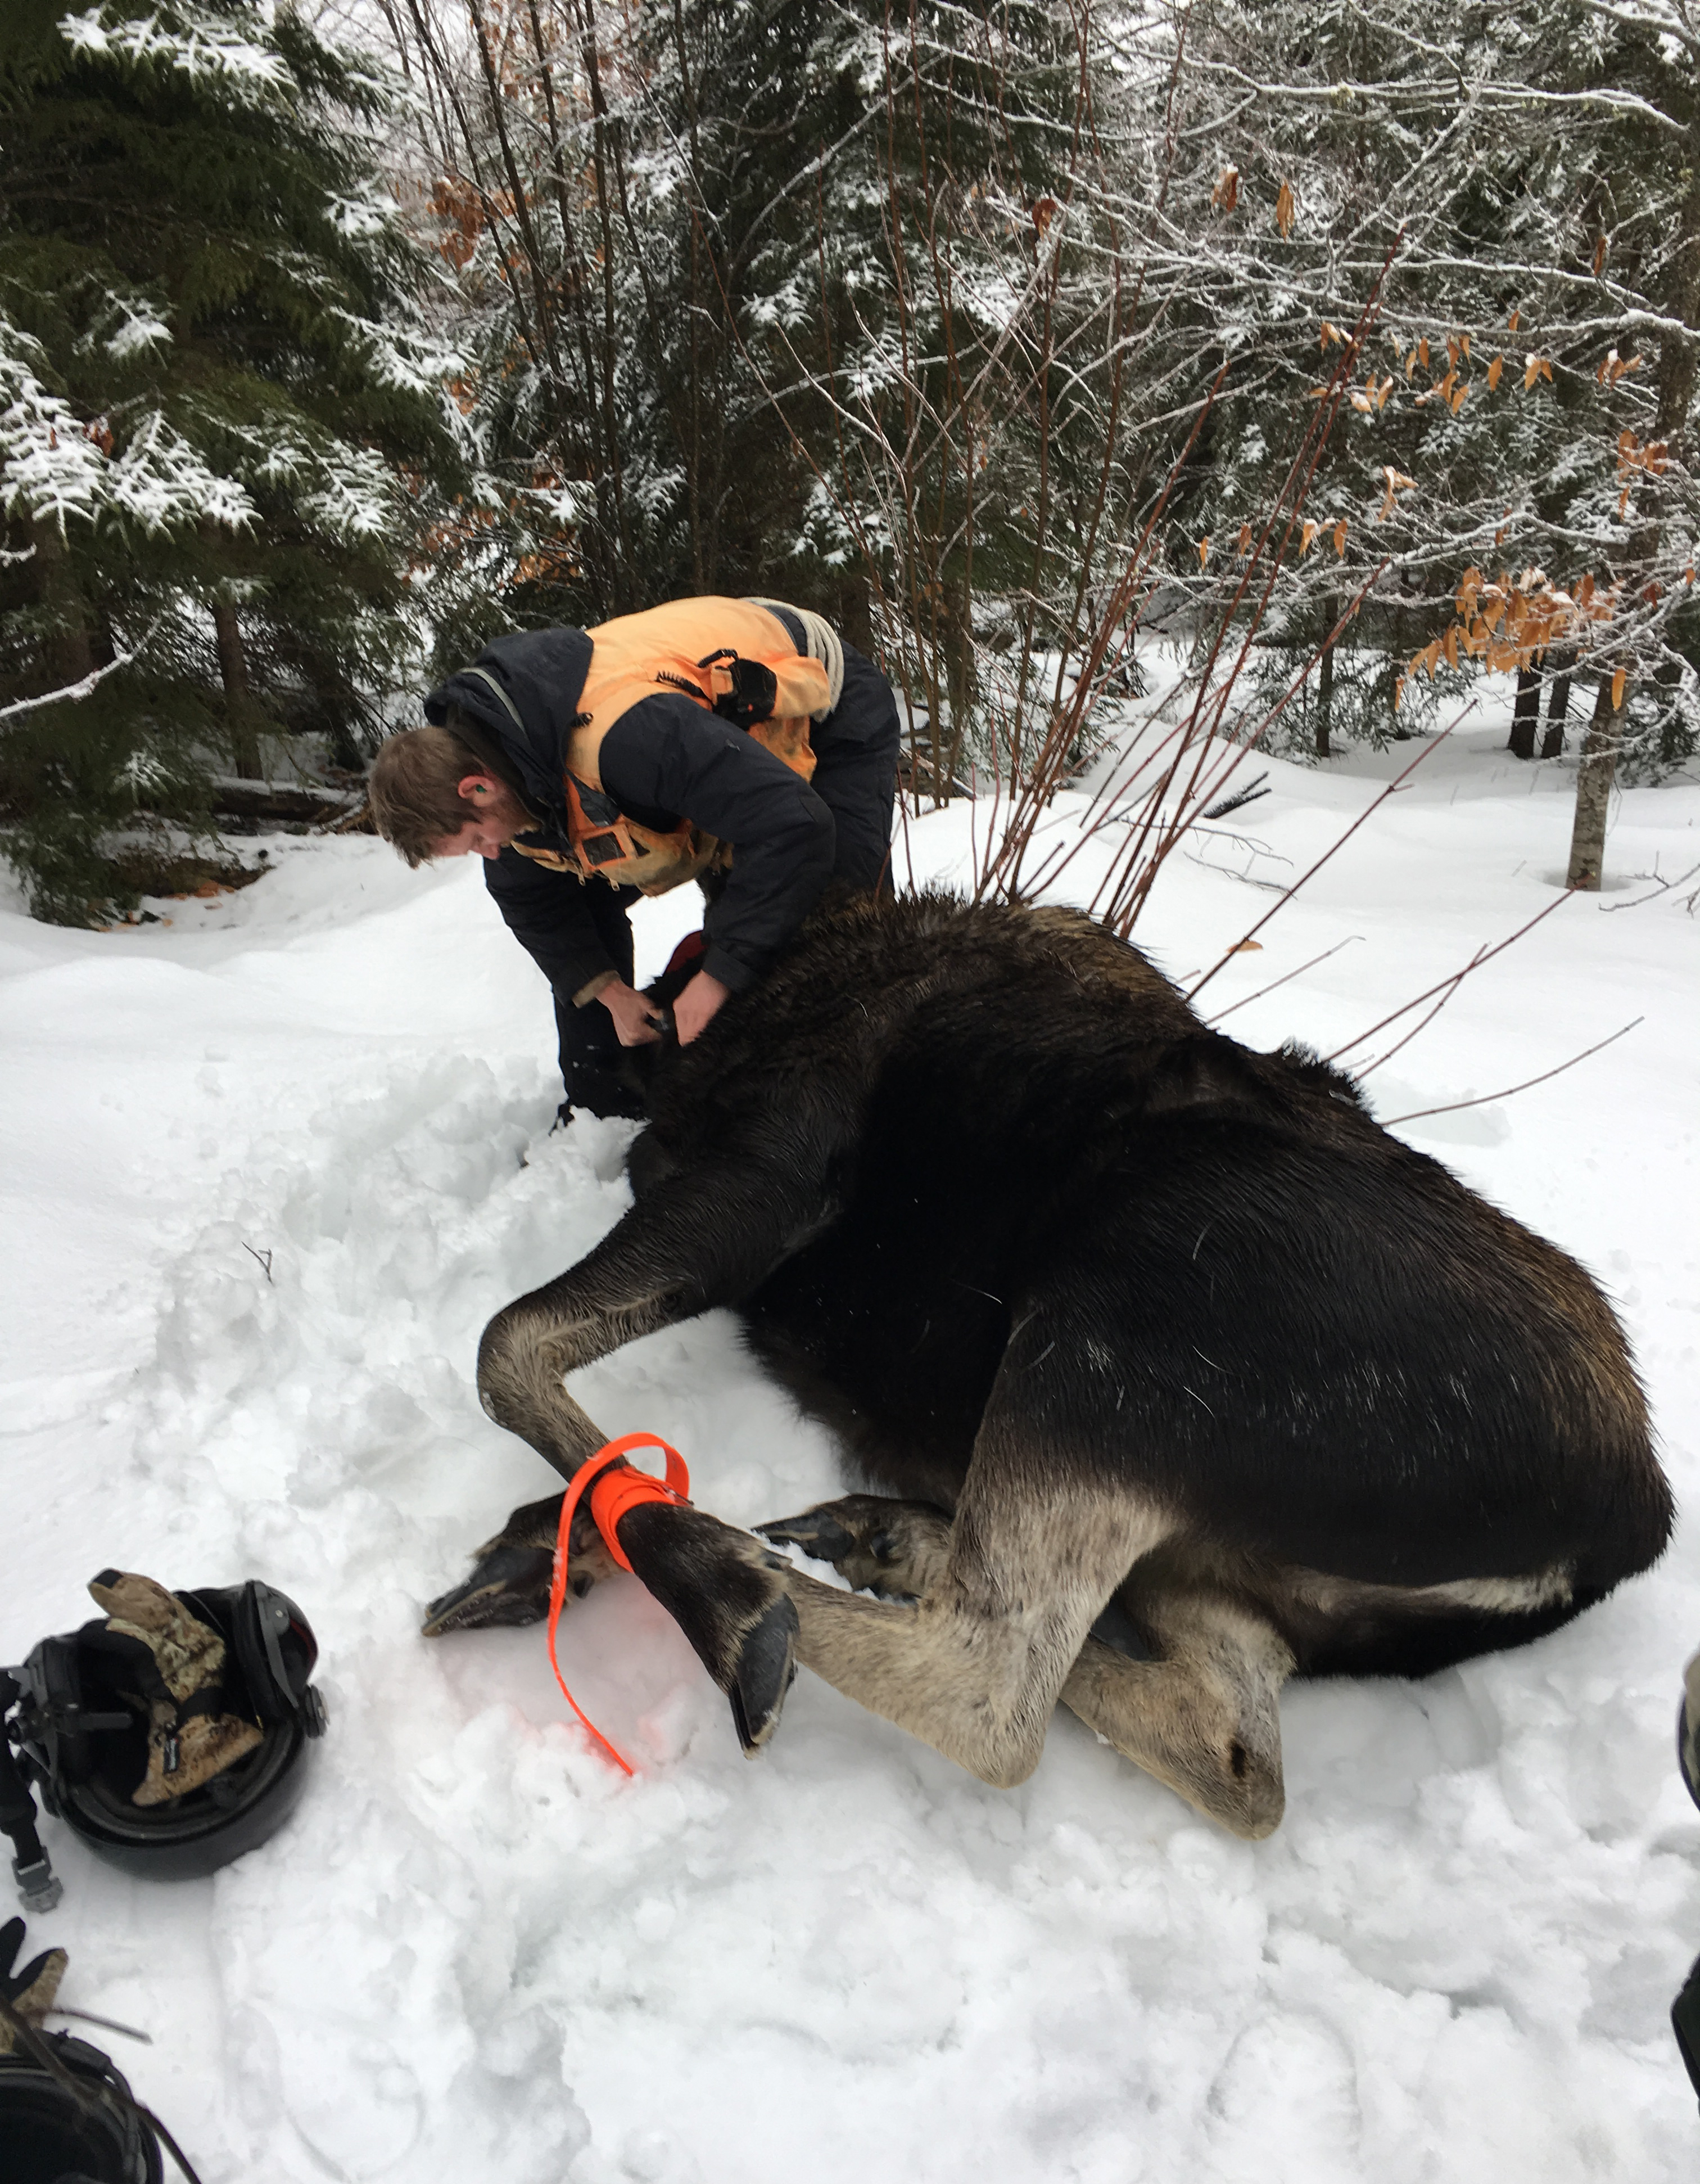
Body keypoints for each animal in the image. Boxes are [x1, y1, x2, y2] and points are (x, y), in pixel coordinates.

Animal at [419, 895, 1667, 1834]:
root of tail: (1621, 1527)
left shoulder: (767, 1175)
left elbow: (502, 1343)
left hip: (1121, 1308)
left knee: (988, 1693)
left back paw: (737, 1596)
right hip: (1224, 1557)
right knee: (1235, 1748)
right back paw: (871, 1537)